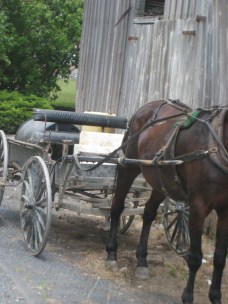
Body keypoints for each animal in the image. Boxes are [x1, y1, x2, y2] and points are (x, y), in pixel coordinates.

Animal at [106, 100, 227, 304]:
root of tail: (145, 107)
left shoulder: (226, 210)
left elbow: (219, 257)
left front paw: (216, 297)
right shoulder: (198, 207)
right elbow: (195, 257)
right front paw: (188, 297)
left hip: (160, 180)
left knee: (148, 213)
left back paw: (142, 261)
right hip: (129, 167)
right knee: (117, 207)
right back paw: (112, 254)